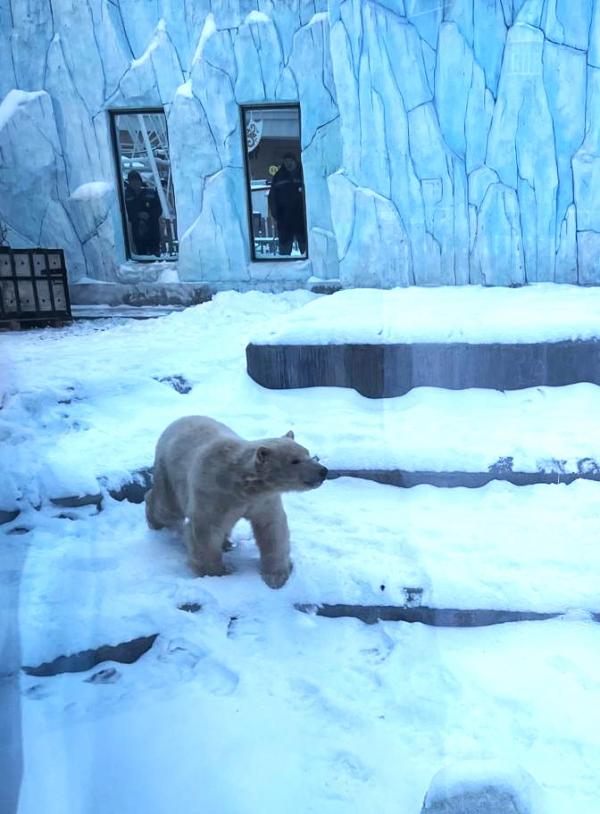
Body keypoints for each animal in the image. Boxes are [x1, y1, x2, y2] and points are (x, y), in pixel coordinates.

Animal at [145, 420, 326, 588]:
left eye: (308, 453)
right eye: (294, 461)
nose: (323, 471)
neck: (239, 482)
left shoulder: (262, 500)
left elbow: (272, 528)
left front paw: (276, 576)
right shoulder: (211, 492)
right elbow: (206, 529)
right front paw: (217, 573)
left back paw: (226, 543)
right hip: (168, 470)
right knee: (166, 508)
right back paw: (155, 521)